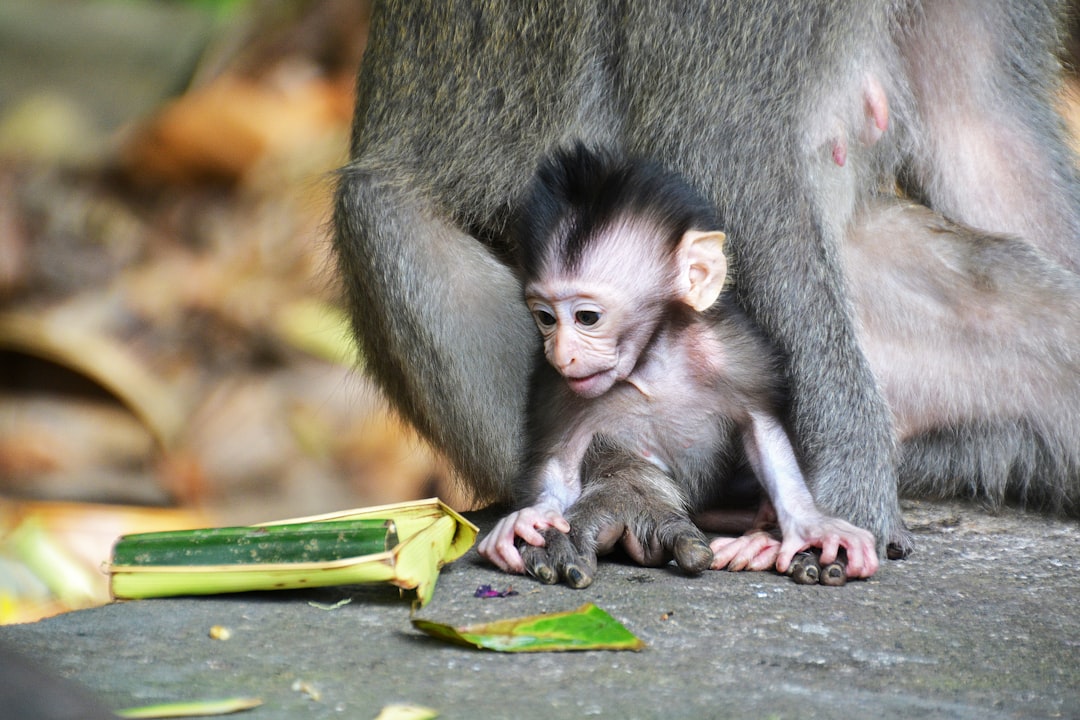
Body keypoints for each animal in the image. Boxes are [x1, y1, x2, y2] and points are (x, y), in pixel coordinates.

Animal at [481, 144, 876, 587]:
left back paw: (758, 537)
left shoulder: (732, 353)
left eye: (587, 317)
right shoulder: (560, 389)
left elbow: (762, 429)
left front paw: (810, 524)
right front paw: (534, 519)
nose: (561, 353)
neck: (650, 364)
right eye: (546, 318)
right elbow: (561, 465)